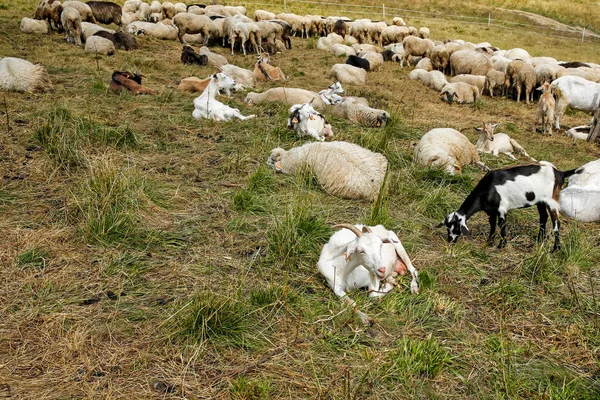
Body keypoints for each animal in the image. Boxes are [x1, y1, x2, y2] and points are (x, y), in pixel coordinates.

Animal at [438, 160, 580, 250]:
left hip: (552, 201)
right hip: (540, 201)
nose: (450, 241)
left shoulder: (502, 209)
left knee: (556, 223)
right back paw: (539, 239)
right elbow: (492, 226)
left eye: (456, 227)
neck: (488, 188)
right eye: (447, 227)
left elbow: (502, 226)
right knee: (543, 217)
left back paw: (556, 248)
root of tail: (560, 173)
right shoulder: (491, 211)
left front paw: (501, 245)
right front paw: (489, 242)